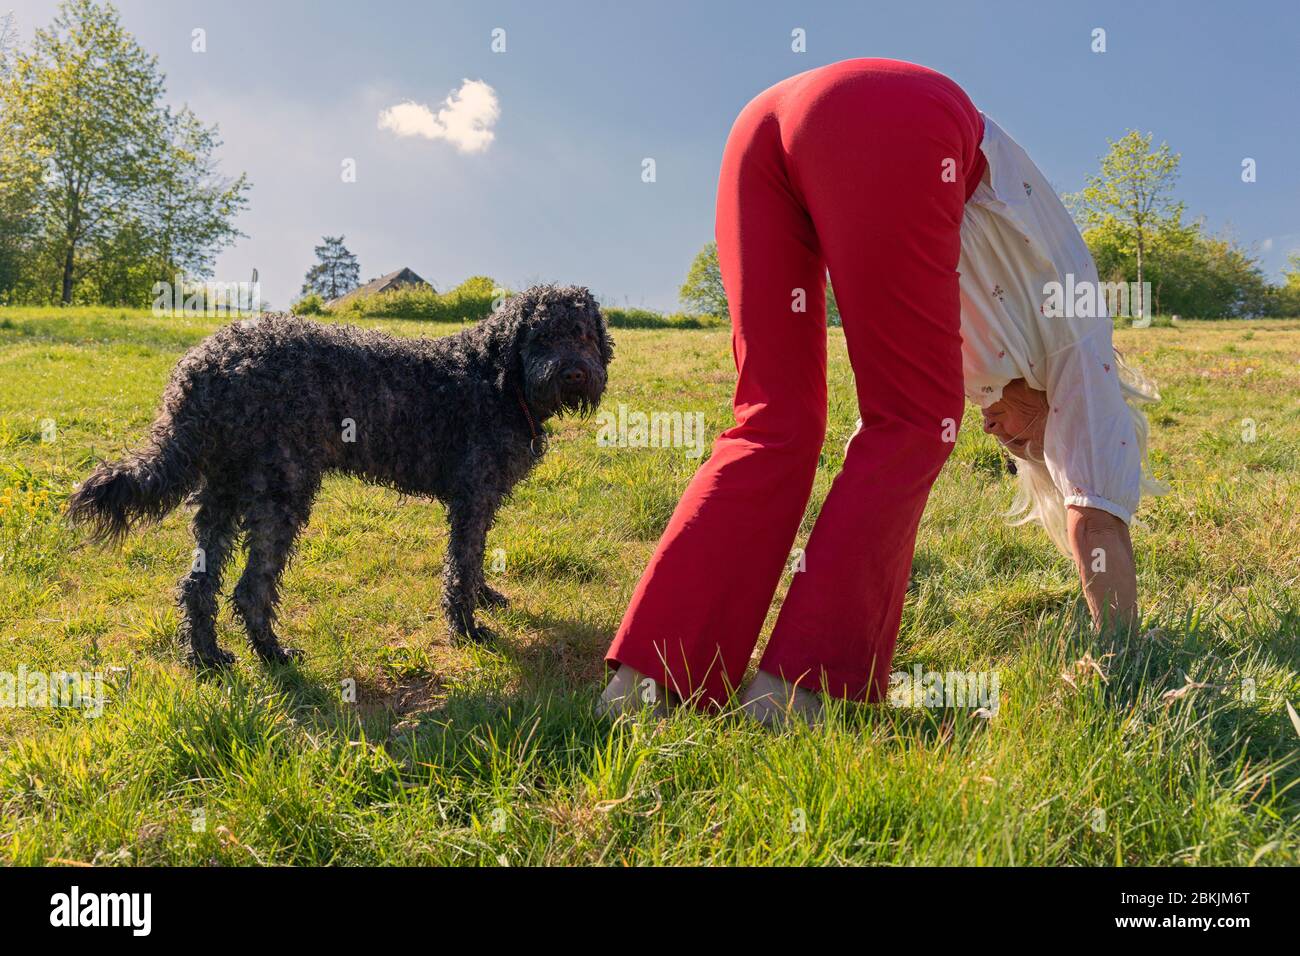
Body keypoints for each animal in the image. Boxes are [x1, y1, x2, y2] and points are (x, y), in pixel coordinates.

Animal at [69, 287, 613, 671]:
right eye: (542, 336)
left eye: (583, 334)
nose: (573, 374)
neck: (496, 374)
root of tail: (204, 365)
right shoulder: (472, 496)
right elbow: (461, 565)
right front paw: (467, 629)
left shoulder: (480, 501)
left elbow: (475, 559)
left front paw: (486, 599)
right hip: (282, 489)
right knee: (250, 589)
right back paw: (273, 654)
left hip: (224, 490)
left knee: (198, 584)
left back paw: (208, 658)